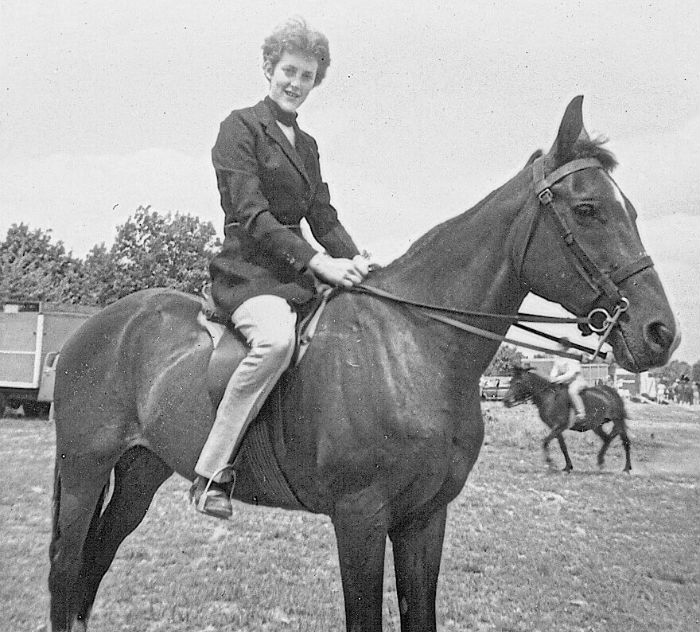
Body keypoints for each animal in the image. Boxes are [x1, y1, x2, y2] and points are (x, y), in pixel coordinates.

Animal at [45, 95, 680, 632]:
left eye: (631, 209)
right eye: (588, 209)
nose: (660, 333)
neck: (417, 349)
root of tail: (97, 327)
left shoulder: (425, 520)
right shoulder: (360, 519)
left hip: (140, 471)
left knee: (95, 563)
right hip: (84, 468)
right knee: (65, 568)